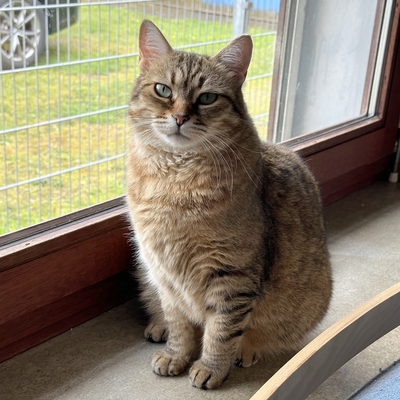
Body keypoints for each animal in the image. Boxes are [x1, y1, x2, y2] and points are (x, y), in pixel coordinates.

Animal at [126, 19, 332, 390]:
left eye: (207, 97)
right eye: (163, 90)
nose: (179, 117)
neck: (175, 181)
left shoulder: (232, 278)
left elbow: (220, 332)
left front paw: (211, 367)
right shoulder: (164, 275)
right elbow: (179, 325)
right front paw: (176, 354)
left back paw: (248, 350)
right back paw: (157, 326)